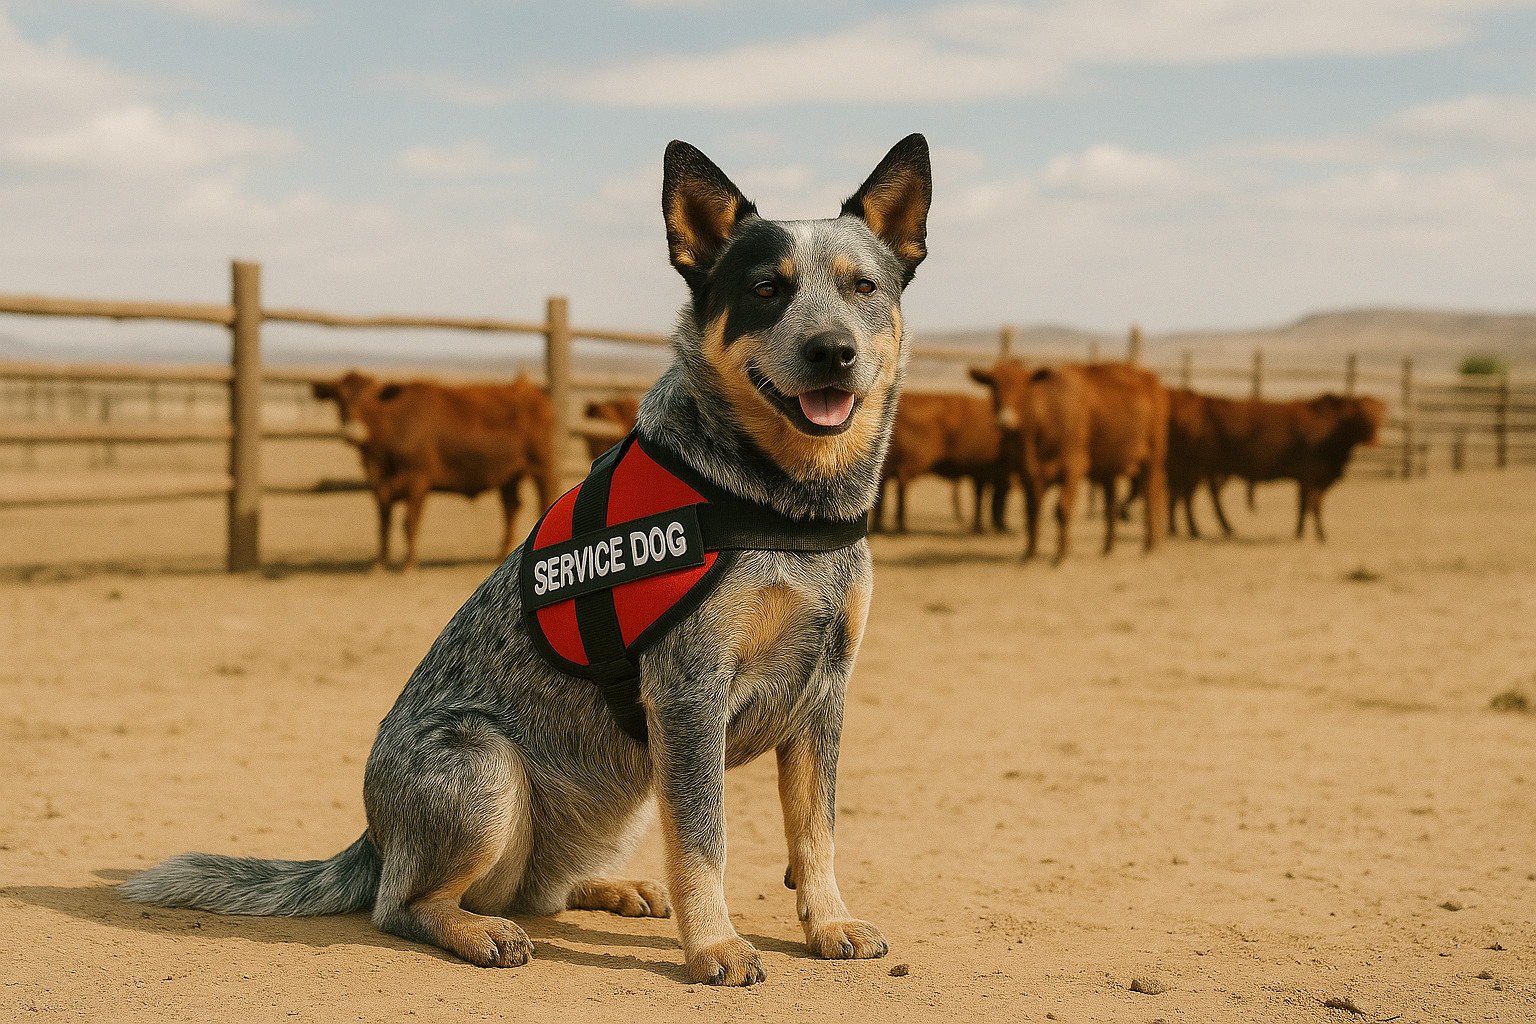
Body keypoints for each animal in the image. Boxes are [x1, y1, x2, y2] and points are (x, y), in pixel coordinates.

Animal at [311, 371, 556, 571]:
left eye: (370, 398)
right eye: (339, 399)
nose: (352, 432)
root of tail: (532, 391)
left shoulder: (417, 481)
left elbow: (409, 523)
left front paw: (409, 565)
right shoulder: (380, 487)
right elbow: (384, 525)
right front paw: (379, 564)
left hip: (541, 467)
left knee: (542, 502)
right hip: (509, 477)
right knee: (511, 509)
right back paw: (501, 554)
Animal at [872, 391, 1009, 534]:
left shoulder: (984, 474)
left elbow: (985, 496)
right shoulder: (987, 473)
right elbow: (989, 497)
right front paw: (987, 526)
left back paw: (880, 526)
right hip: (907, 463)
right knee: (901, 487)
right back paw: (901, 527)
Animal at [970, 360, 1168, 563]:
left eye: (1024, 386)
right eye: (993, 386)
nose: (1005, 420)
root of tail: (1149, 378)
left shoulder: (1073, 467)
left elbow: (1062, 509)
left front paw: (1061, 555)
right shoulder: (1028, 474)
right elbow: (1032, 510)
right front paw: (1029, 554)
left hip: (1153, 458)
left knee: (1151, 495)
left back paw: (1150, 545)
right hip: (1109, 468)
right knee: (1111, 504)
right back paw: (1108, 547)